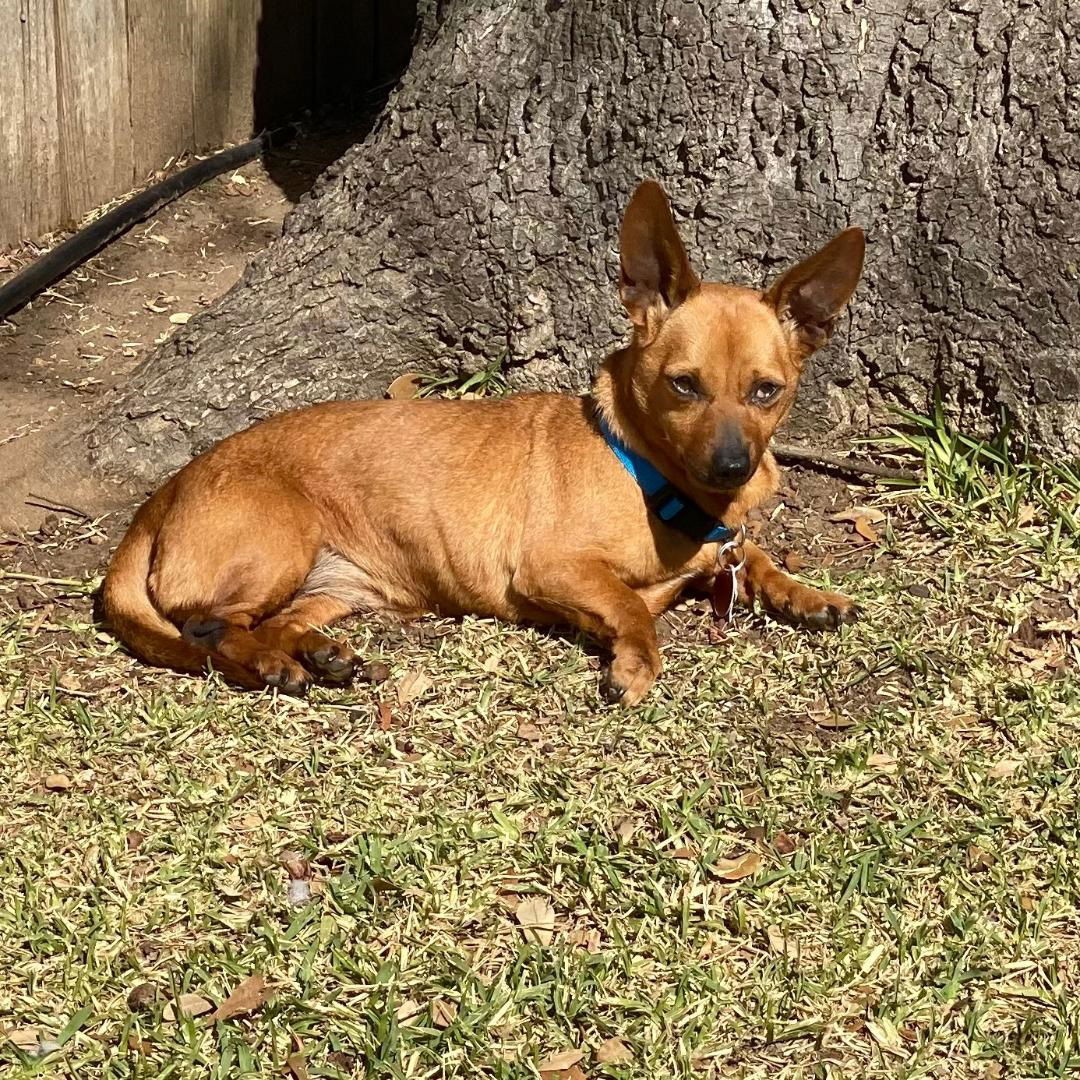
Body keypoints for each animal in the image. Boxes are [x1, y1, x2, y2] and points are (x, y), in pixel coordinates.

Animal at [99, 181, 859, 704]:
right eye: (683, 386)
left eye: (767, 392)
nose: (733, 466)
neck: (654, 480)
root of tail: (161, 498)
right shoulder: (553, 569)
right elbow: (630, 608)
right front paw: (633, 659)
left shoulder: (718, 547)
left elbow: (752, 555)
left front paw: (802, 593)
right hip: (281, 540)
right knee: (207, 626)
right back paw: (271, 665)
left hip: (333, 585)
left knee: (269, 622)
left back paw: (317, 654)